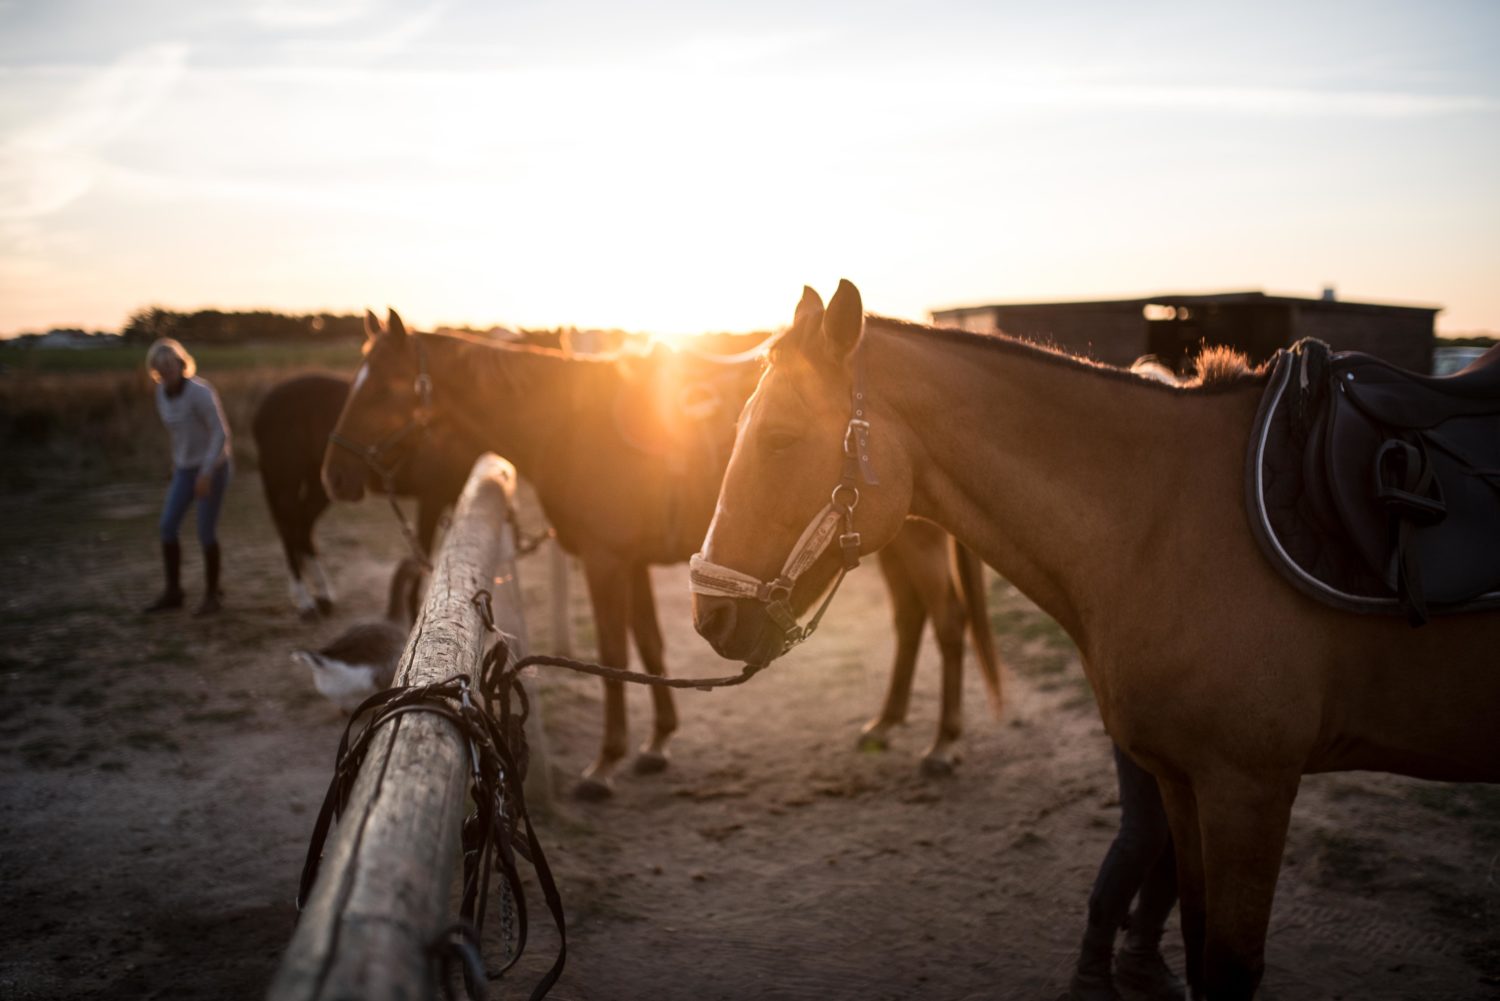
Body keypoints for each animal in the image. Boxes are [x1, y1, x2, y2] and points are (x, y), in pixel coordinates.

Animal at [318, 310, 1002, 798]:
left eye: (383, 389)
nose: (332, 475)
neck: (568, 425)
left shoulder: (605, 561)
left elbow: (616, 653)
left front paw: (606, 762)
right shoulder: (630, 563)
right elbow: (647, 646)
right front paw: (656, 743)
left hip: (912, 544)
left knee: (947, 621)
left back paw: (944, 745)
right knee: (911, 618)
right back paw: (886, 723)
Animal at [696, 282, 1500, 1001]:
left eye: (779, 437)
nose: (709, 616)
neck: (1168, 520)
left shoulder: (1250, 786)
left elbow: (1230, 968)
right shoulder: (1184, 779)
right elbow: (1197, 938)